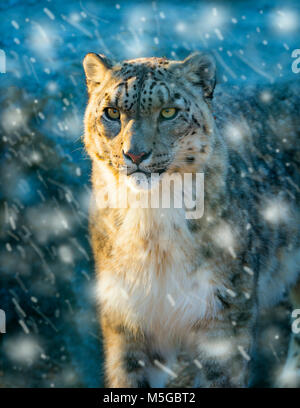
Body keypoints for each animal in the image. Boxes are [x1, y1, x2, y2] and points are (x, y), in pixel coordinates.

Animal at [82, 51, 300, 388]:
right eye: (112, 112)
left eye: (168, 112)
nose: (135, 155)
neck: (151, 224)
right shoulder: (128, 316)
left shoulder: (224, 314)